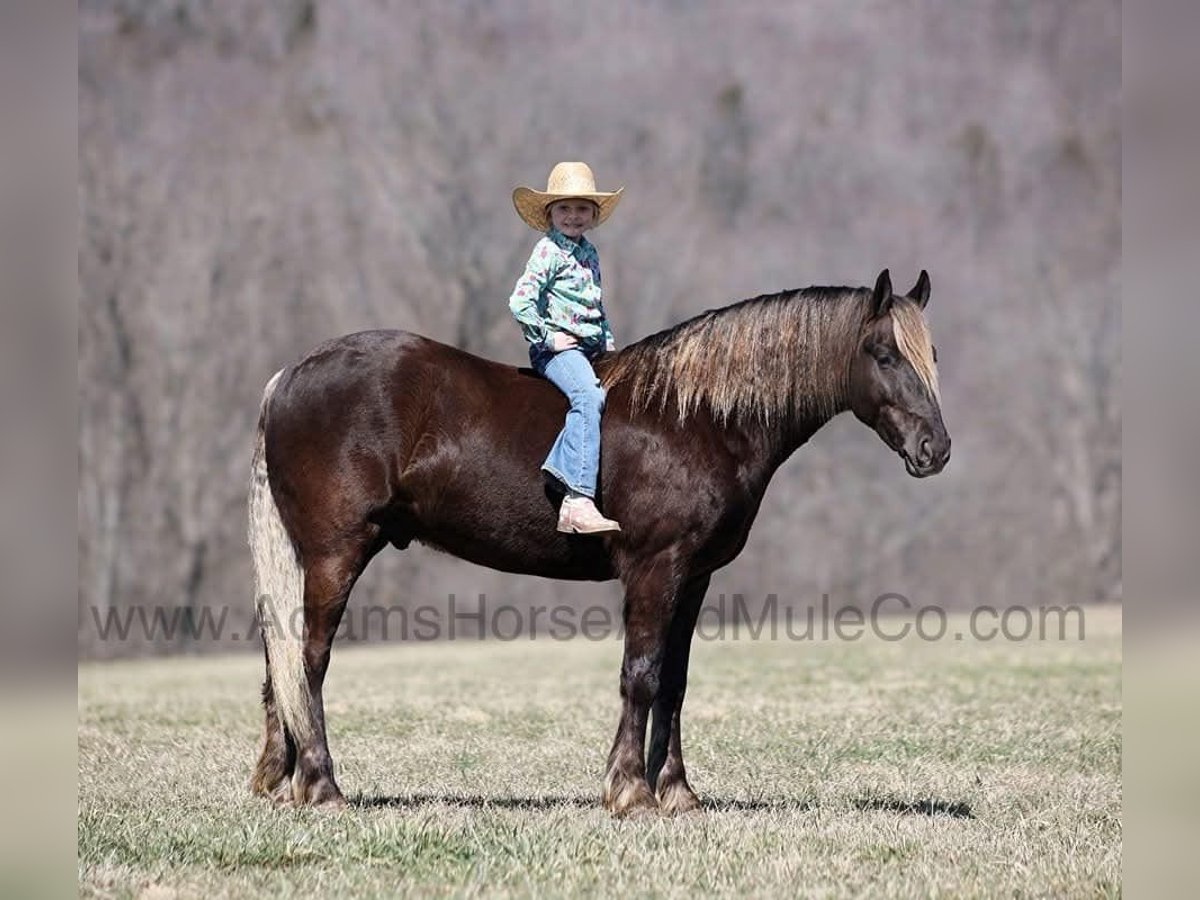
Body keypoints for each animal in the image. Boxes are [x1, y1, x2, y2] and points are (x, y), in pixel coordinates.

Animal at [247, 268, 950, 817]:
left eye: (932, 354)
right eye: (884, 354)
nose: (935, 449)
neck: (695, 417)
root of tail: (286, 377)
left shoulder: (693, 577)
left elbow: (674, 683)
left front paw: (677, 793)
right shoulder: (655, 568)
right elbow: (640, 675)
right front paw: (631, 791)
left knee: (280, 665)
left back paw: (279, 780)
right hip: (336, 554)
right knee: (308, 661)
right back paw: (322, 785)